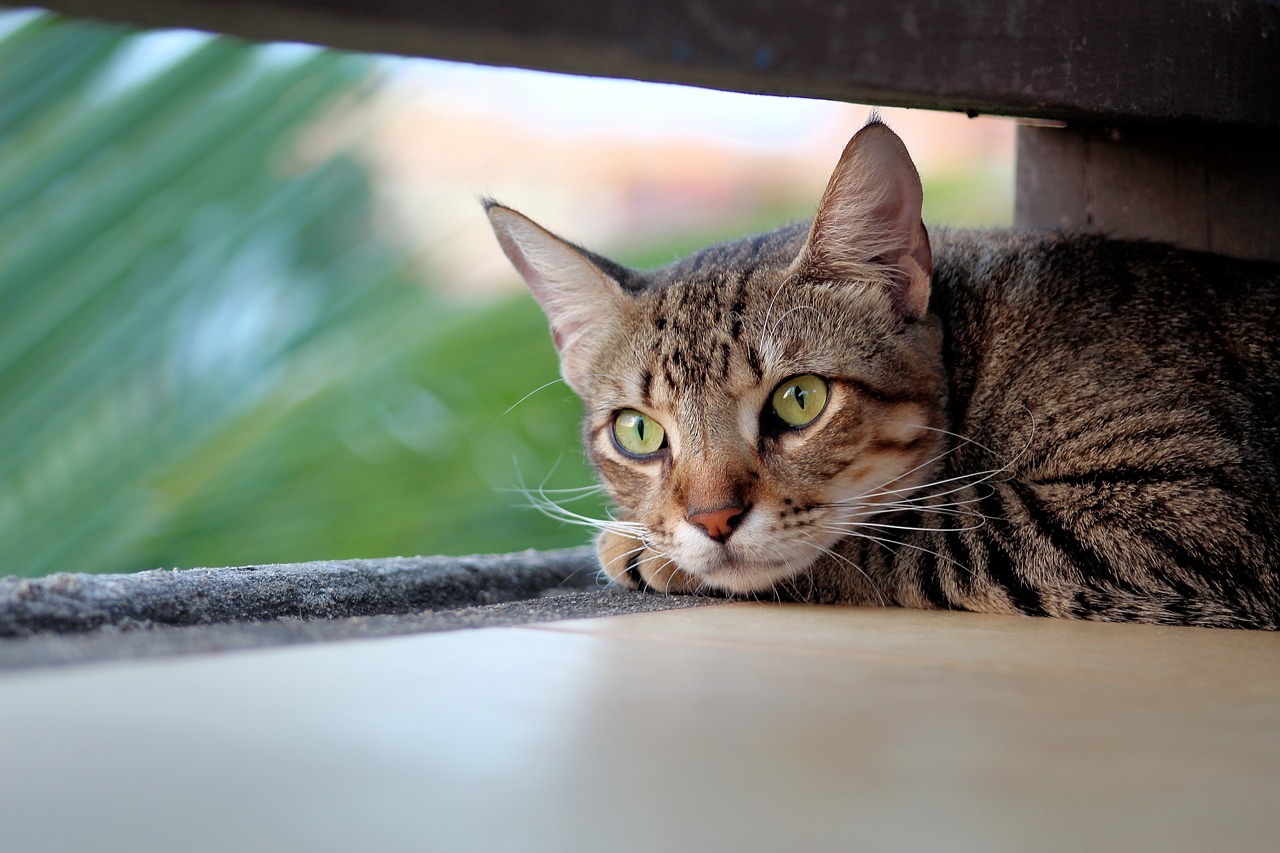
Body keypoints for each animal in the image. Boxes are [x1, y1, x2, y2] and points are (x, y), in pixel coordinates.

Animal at [481, 117, 1280, 625]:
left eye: (800, 400)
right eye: (639, 433)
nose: (710, 520)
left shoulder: (1190, 502)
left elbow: (916, 536)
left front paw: (641, 550)